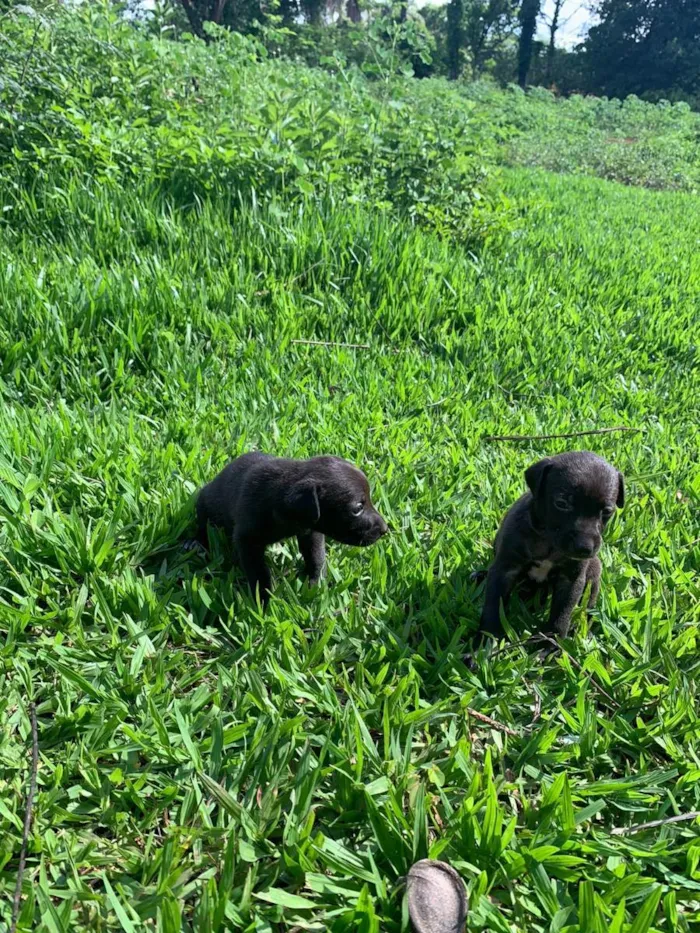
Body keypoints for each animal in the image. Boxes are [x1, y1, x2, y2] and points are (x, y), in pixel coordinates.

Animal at [189, 452, 392, 604]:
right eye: (357, 508)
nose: (384, 529)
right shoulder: (248, 541)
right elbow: (258, 571)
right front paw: (263, 600)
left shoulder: (311, 532)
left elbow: (316, 557)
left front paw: (316, 583)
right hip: (204, 503)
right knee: (203, 525)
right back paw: (195, 543)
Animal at [476, 450, 624, 640]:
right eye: (561, 503)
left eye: (607, 511)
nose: (584, 548)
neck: (548, 541)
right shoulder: (505, 569)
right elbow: (493, 605)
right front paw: (487, 640)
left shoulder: (571, 579)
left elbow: (562, 614)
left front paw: (550, 643)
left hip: (594, 571)